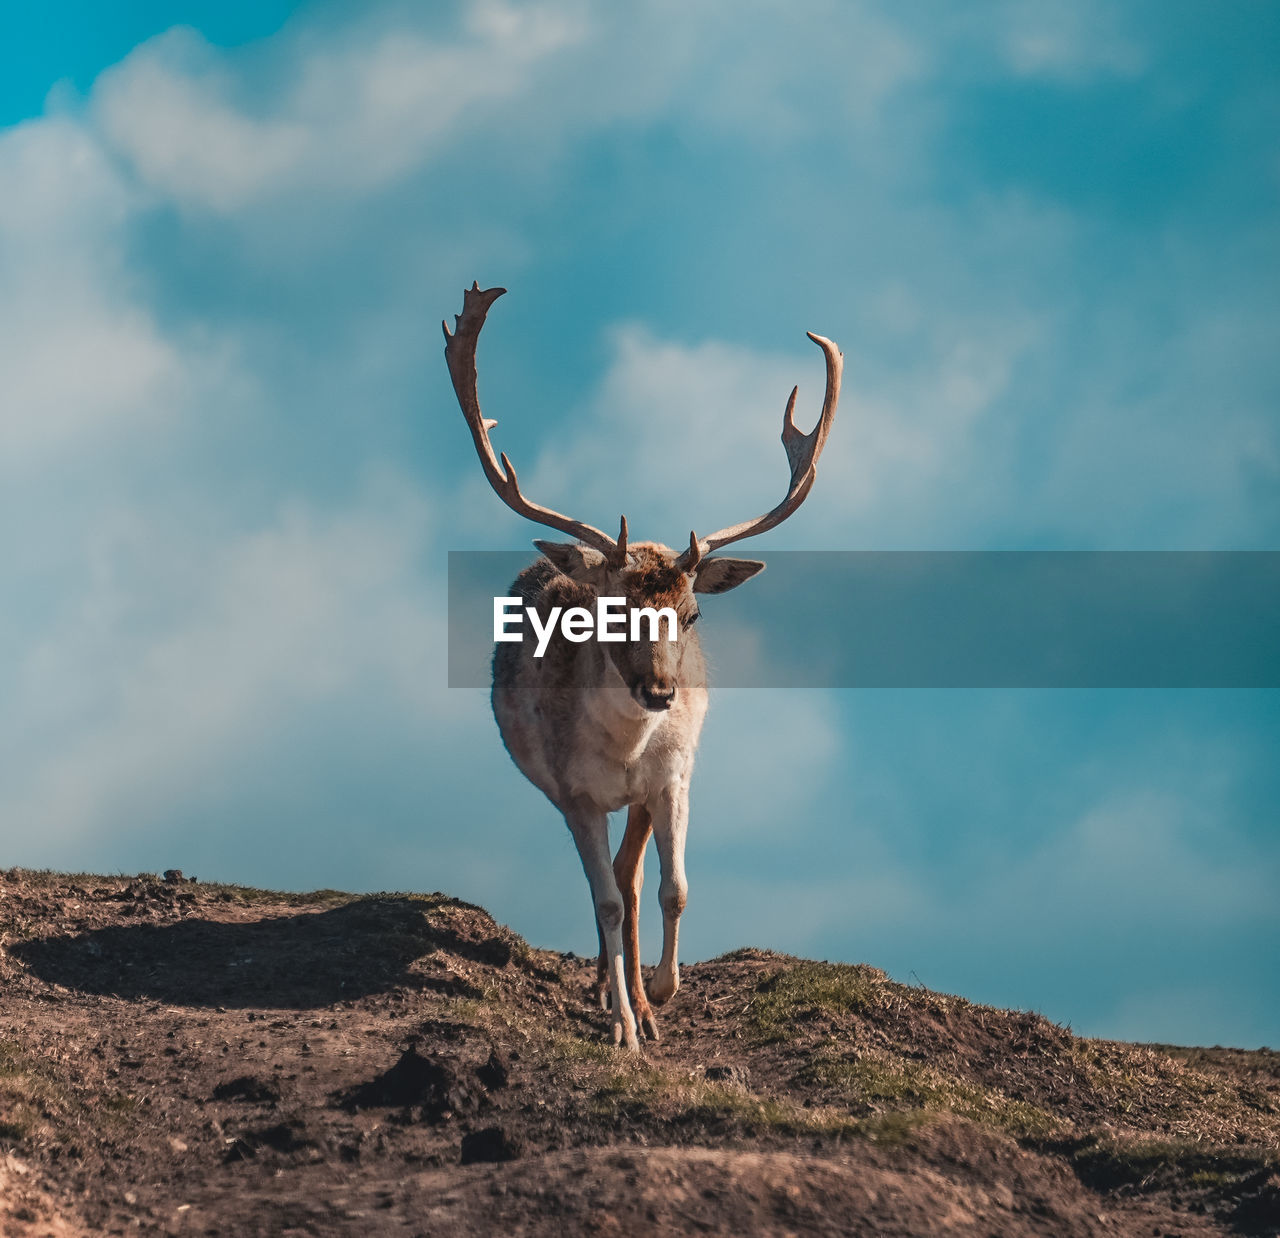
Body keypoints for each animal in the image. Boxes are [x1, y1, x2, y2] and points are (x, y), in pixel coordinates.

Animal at [440, 285, 839, 1049]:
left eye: (692, 615)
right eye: (607, 609)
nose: (660, 690)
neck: (626, 750)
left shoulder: (674, 773)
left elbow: (670, 888)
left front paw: (660, 992)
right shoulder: (574, 794)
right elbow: (605, 903)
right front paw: (624, 1025)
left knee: (630, 874)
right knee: (608, 888)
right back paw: (611, 991)